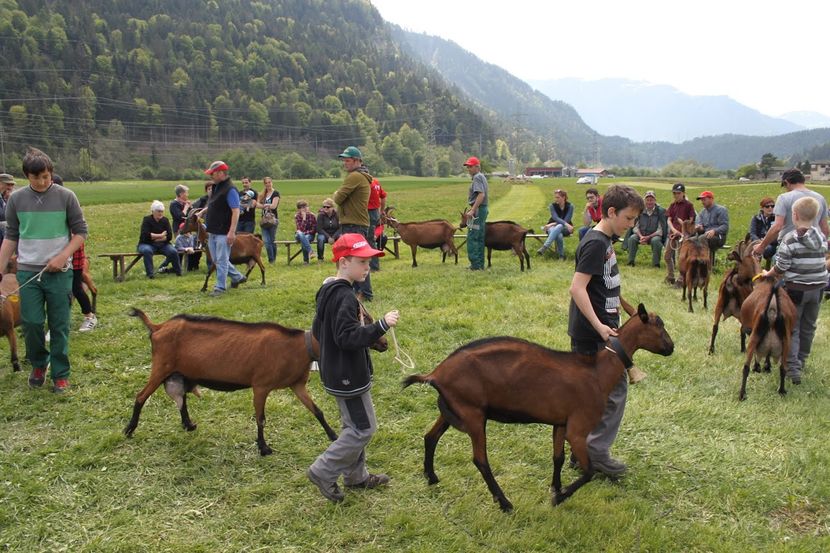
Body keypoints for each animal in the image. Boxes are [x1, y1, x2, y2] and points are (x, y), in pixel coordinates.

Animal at [126, 306, 390, 452]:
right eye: (363, 322)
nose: (385, 343)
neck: (300, 346)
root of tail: (158, 327)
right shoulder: (261, 386)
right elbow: (261, 418)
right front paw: (263, 447)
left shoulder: (297, 385)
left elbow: (317, 410)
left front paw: (333, 436)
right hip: (161, 367)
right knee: (141, 396)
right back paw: (129, 430)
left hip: (179, 371)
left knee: (181, 397)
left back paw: (188, 424)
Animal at [404, 304, 676, 512]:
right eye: (659, 325)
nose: (671, 347)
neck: (598, 372)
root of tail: (436, 374)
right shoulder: (578, 429)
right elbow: (588, 471)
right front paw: (560, 497)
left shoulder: (561, 423)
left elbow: (558, 457)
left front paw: (555, 487)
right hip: (473, 414)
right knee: (480, 459)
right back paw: (504, 503)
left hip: (452, 409)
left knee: (430, 437)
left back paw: (431, 477)